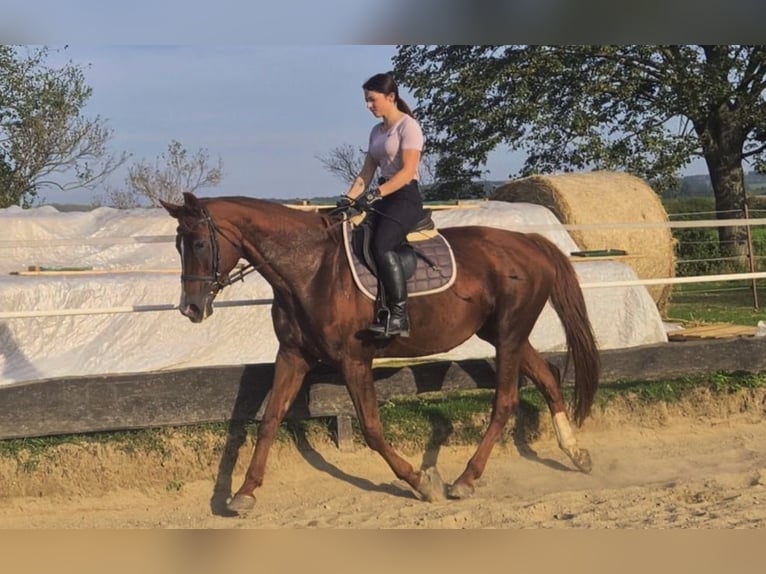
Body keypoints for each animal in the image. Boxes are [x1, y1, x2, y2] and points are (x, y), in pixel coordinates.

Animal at [162, 191, 604, 516]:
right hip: (505, 334)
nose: (190, 309)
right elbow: (270, 420)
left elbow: (372, 428)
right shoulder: (292, 356)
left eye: (198, 242)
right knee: (547, 377)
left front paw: (419, 482)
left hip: (510, 335)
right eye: (178, 245)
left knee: (506, 401)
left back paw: (465, 480)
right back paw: (577, 454)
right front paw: (246, 492)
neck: (310, 268)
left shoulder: (354, 360)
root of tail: (530, 242)